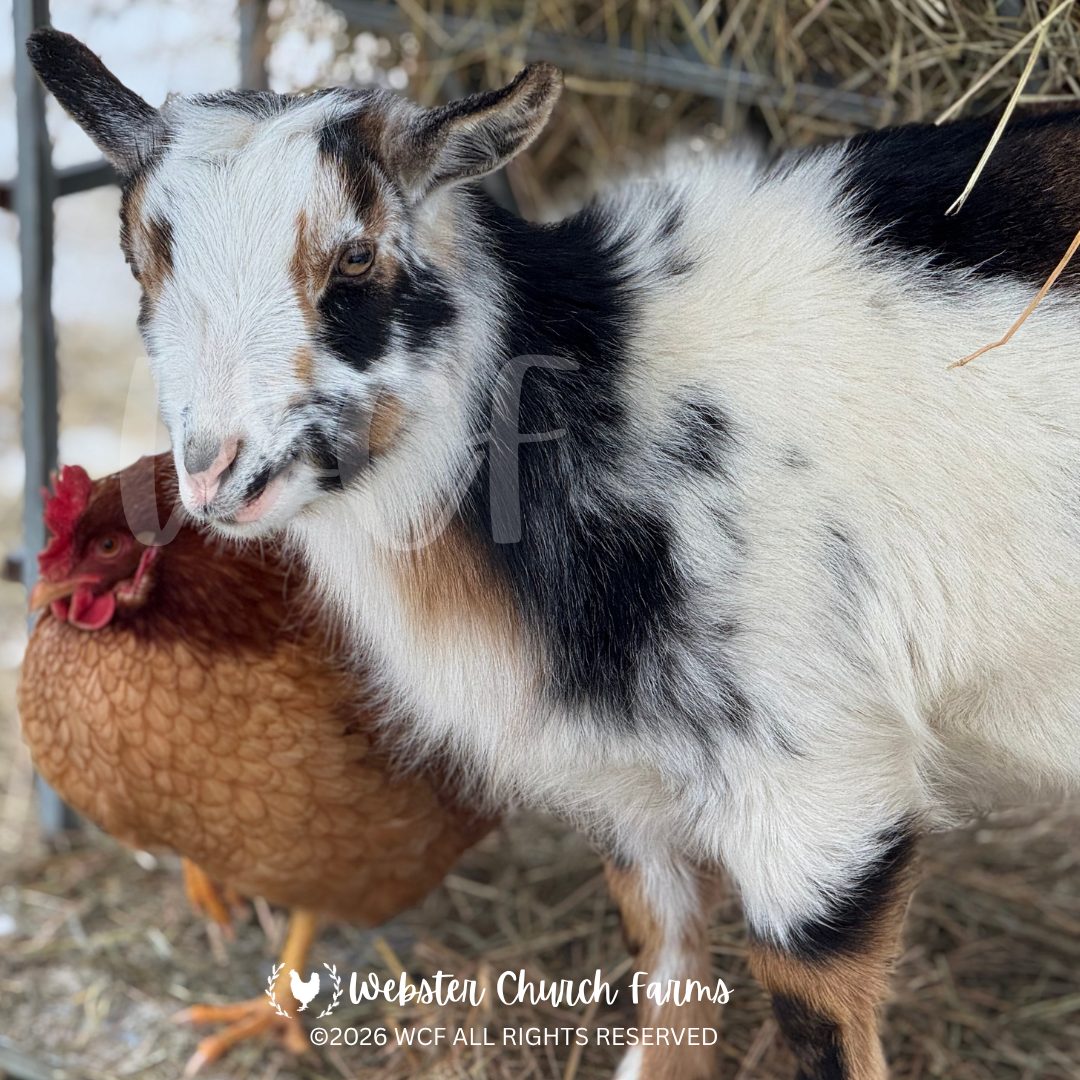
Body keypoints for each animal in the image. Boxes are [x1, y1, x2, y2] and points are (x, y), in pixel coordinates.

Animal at [30, 28, 1080, 1080]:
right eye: (140, 258)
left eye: (356, 255)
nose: (215, 472)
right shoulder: (632, 788)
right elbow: (667, 974)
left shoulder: (819, 775)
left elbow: (817, 1018)